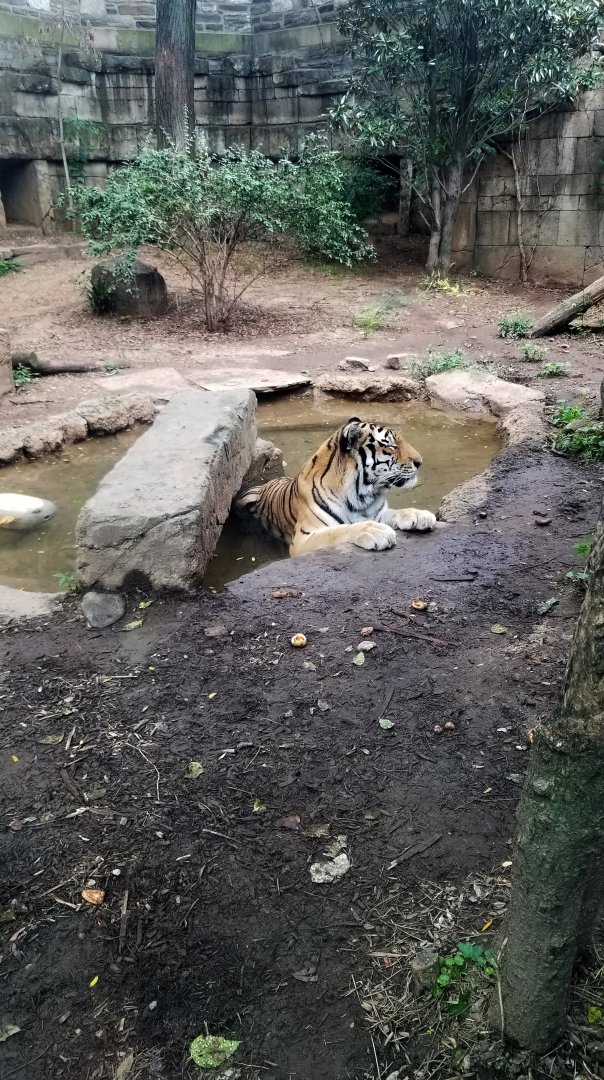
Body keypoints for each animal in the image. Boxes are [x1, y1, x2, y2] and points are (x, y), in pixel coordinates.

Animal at [235, 416, 437, 557]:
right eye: (391, 446)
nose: (420, 461)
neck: (362, 495)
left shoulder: (377, 512)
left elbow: (395, 512)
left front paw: (420, 515)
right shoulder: (302, 540)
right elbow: (341, 530)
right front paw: (374, 531)